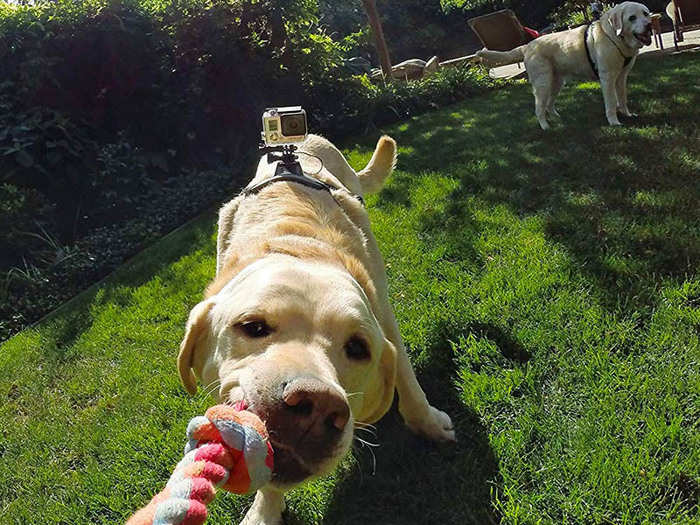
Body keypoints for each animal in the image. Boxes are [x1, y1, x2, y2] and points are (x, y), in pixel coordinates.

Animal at [178, 134, 456, 520]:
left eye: (358, 348)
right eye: (252, 326)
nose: (318, 405)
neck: (296, 241)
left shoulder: (383, 312)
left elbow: (406, 376)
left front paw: (427, 422)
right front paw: (265, 510)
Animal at [478, 2, 652, 129]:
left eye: (645, 13)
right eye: (632, 18)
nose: (649, 25)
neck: (614, 37)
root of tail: (527, 46)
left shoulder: (621, 77)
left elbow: (622, 98)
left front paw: (627, 114)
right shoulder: (607, 78)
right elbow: (610, 103)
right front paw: (614, 122)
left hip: (556, 83)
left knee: (549, 105)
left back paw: (558, 118)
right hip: (542, 84)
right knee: (539, 108)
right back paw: (545, 126)